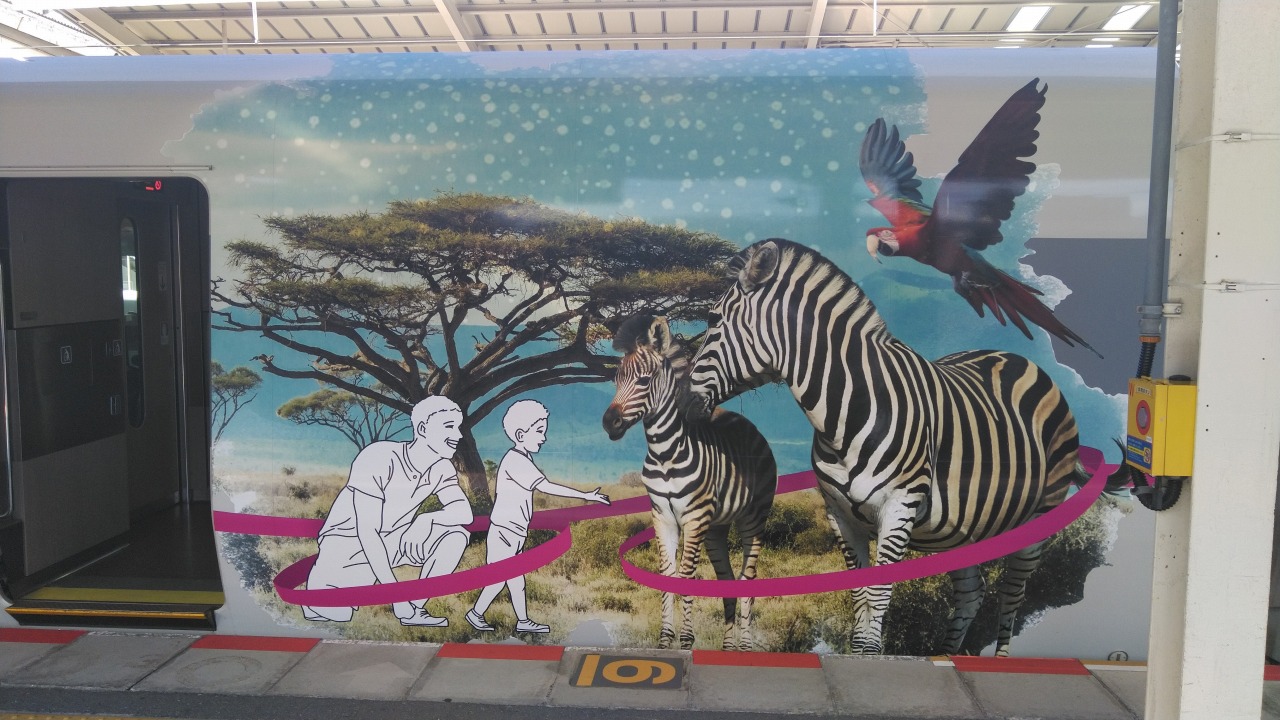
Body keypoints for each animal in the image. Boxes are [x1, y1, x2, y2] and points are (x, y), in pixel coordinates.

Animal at [603, 314, 778, 650]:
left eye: (644, 381)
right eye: (616, 380)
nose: (609, 423)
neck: (664, 453)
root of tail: (747, 423)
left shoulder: (694, 518)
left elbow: (686, 576)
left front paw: (685, 639)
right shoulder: (662, 516)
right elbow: (666, 575)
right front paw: (665, 639)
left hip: (754, 518)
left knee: (747, 580)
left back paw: (745, 646)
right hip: (716, 528)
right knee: (727, 581)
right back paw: (727, 648)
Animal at [687, 238, 1084, 657]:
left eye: (712, 320)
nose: (682, 401)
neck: (846, 413)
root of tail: (1019, 358)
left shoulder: (899, 507)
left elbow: (878, 594)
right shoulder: (839, 514)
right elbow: (859, 596)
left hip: (1036, 518)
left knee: (1012, 593)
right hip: (963, 528)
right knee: (972, 593)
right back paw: (945, 655)